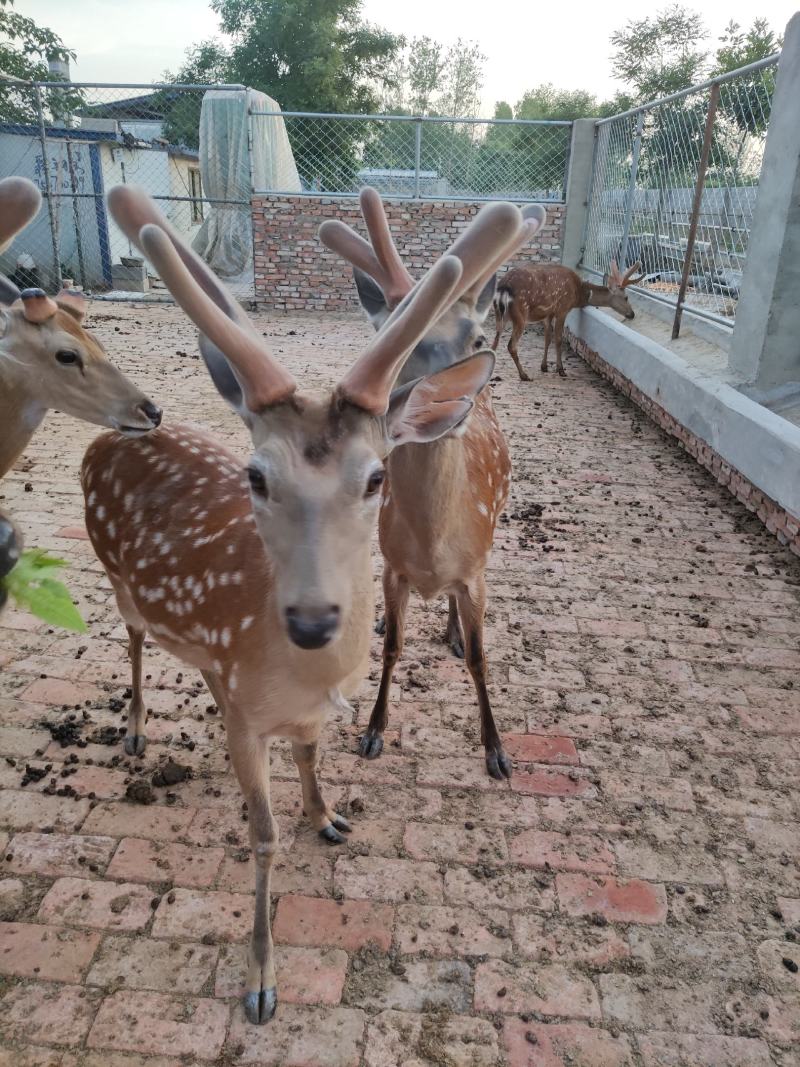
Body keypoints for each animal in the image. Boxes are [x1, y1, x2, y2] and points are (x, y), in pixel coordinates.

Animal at [319, 190, 547, 779]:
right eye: (393, 341)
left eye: (478, 337)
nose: (450, 400)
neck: (430, 548)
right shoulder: (393, 565)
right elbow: (393, 648)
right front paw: (373, 731)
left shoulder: (475, 571)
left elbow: (481, 657)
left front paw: (497, 751)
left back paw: (450, 631)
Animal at [492, 258, 643, 380]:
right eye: (626, 297)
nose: (632, 314)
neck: (578, 294)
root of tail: (504, 287)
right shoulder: (562, 309)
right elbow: (558, 340)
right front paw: (561, 369)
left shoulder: (548, 314)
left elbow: (547, 338)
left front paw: (544, 366)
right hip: (521, 313)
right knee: (511, 345)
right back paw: (524, 375)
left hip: (500, 314)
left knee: (494, 343)